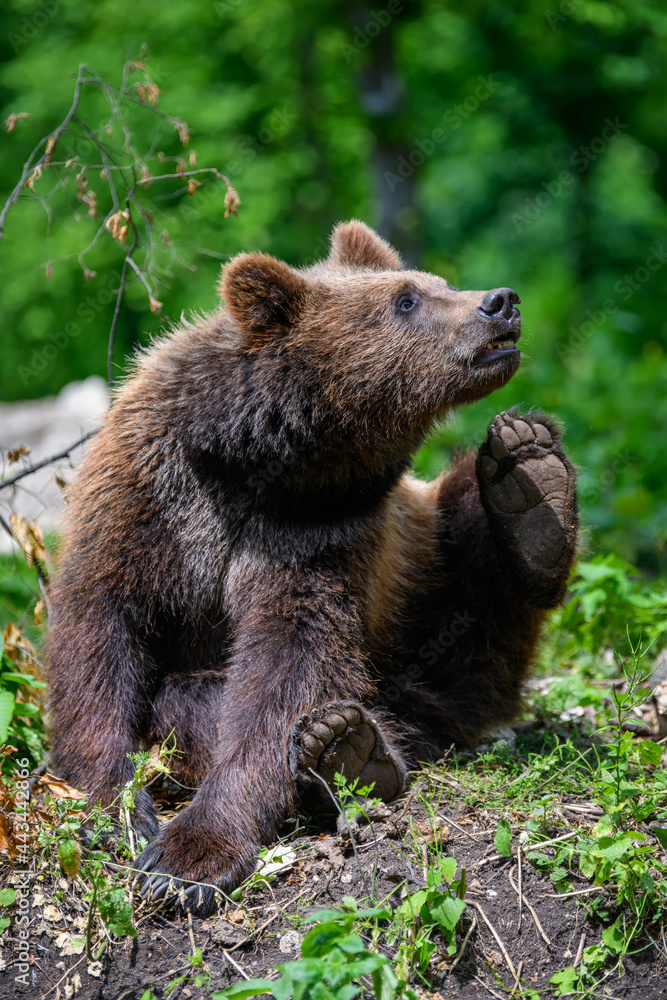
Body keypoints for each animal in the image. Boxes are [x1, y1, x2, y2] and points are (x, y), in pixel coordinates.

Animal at [48, 219, 580, 916]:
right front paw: (122, 810)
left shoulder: (319, 538)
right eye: (407, 299)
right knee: (180, 695)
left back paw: (531, 490)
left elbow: (289, 664)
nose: (501, 302)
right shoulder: (150, 497)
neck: (260, 463)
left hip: (422, 587)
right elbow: (101, 630)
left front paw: (190, 856)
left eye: (434, 284)